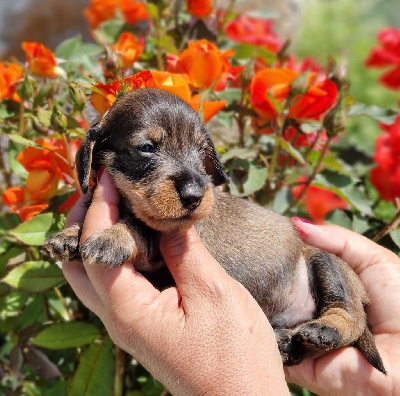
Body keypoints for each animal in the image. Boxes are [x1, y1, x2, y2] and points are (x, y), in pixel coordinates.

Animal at [45, 87, 386, 374]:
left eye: (201, 151)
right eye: (146, 148)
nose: (195, 194)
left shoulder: (162, 238)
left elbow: (139, 227)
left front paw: (111, 238)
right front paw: (70, 235)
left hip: (325, 261)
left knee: (350, 317)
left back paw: (323, 330)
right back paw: (288, 342)